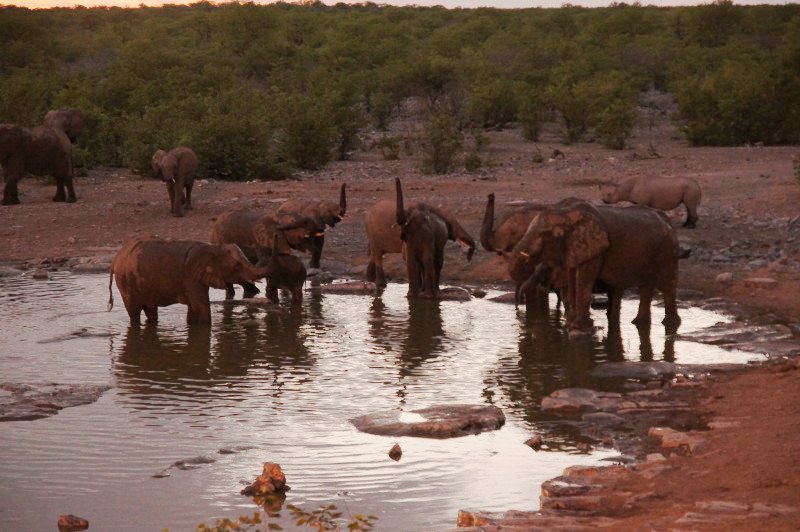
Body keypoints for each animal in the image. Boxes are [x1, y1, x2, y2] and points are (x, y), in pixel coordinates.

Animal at [106, 239, 272, 326]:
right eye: (236, 266)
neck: (213, 248)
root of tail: (115, 259)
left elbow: (193, 309)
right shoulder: (192, 278)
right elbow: (201, 307)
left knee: (151, 310)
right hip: (126, 282)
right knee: (134, 312)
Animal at [510, 200, 680, 336]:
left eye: (546, 236)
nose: (519, 305)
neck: (568, 213)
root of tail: (669, 223)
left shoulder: (597, 248)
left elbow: (584, 280)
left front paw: (580, 328)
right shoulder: (574, 248)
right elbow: (573, 278)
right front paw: (570, 324)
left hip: (667, 252)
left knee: (668, 287)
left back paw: (670, 324)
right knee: (646, 288)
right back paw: (639, 323)